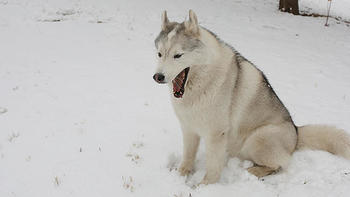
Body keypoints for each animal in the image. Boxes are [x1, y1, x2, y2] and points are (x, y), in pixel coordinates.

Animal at [152, 9, 350, 185]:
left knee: (279, 165)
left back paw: (252, 171)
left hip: (257, 139)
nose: (158, 77)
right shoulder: (189, 129)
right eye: (159, 54)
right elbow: (187, 157)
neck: (201, 84)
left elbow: (213, 168)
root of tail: (296, 132)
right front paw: (180, 175)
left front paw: (204, 186)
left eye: (178, 55)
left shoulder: (216, 134)